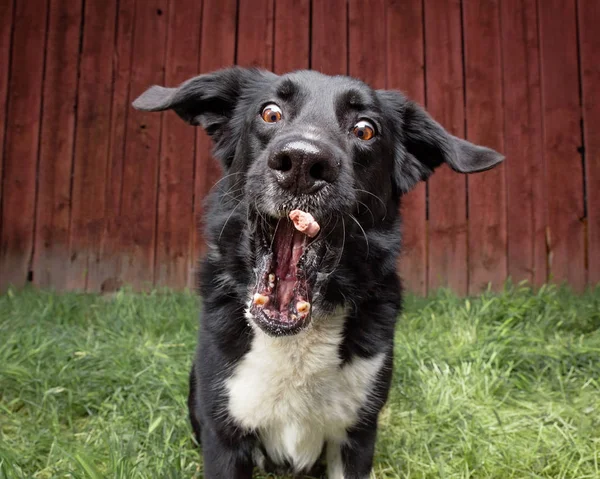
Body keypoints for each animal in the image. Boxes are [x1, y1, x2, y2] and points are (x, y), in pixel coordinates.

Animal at [134, 68, 504, 479]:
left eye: (365, 130)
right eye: (270, 113)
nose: (301, 162)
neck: (294, 340)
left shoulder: (356, 436)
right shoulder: (223, 436)